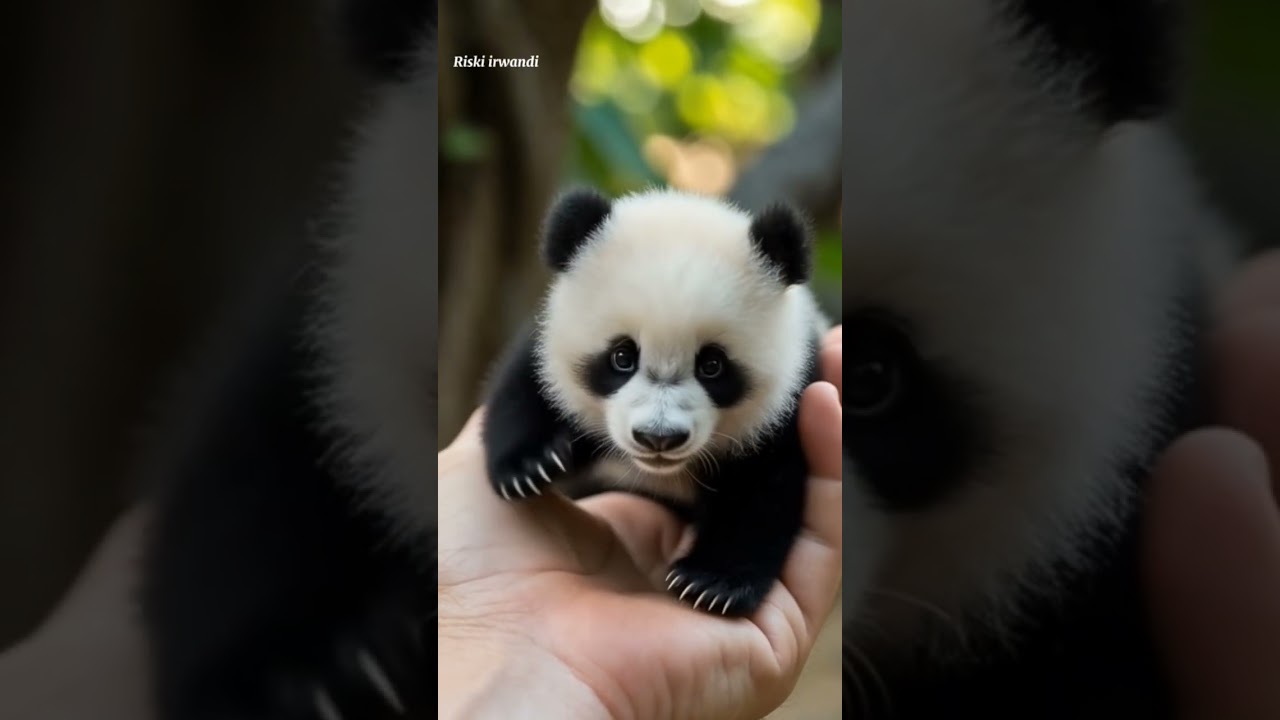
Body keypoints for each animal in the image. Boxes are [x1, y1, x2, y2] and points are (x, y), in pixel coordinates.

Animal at [480, 187, 830, 616]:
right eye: (622, 357)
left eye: (712, 365)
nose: (658, 437)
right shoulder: (549, 341)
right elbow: (524, 388)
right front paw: (530, 465)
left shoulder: (792, 392)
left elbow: (763, 490)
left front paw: (712, 583)